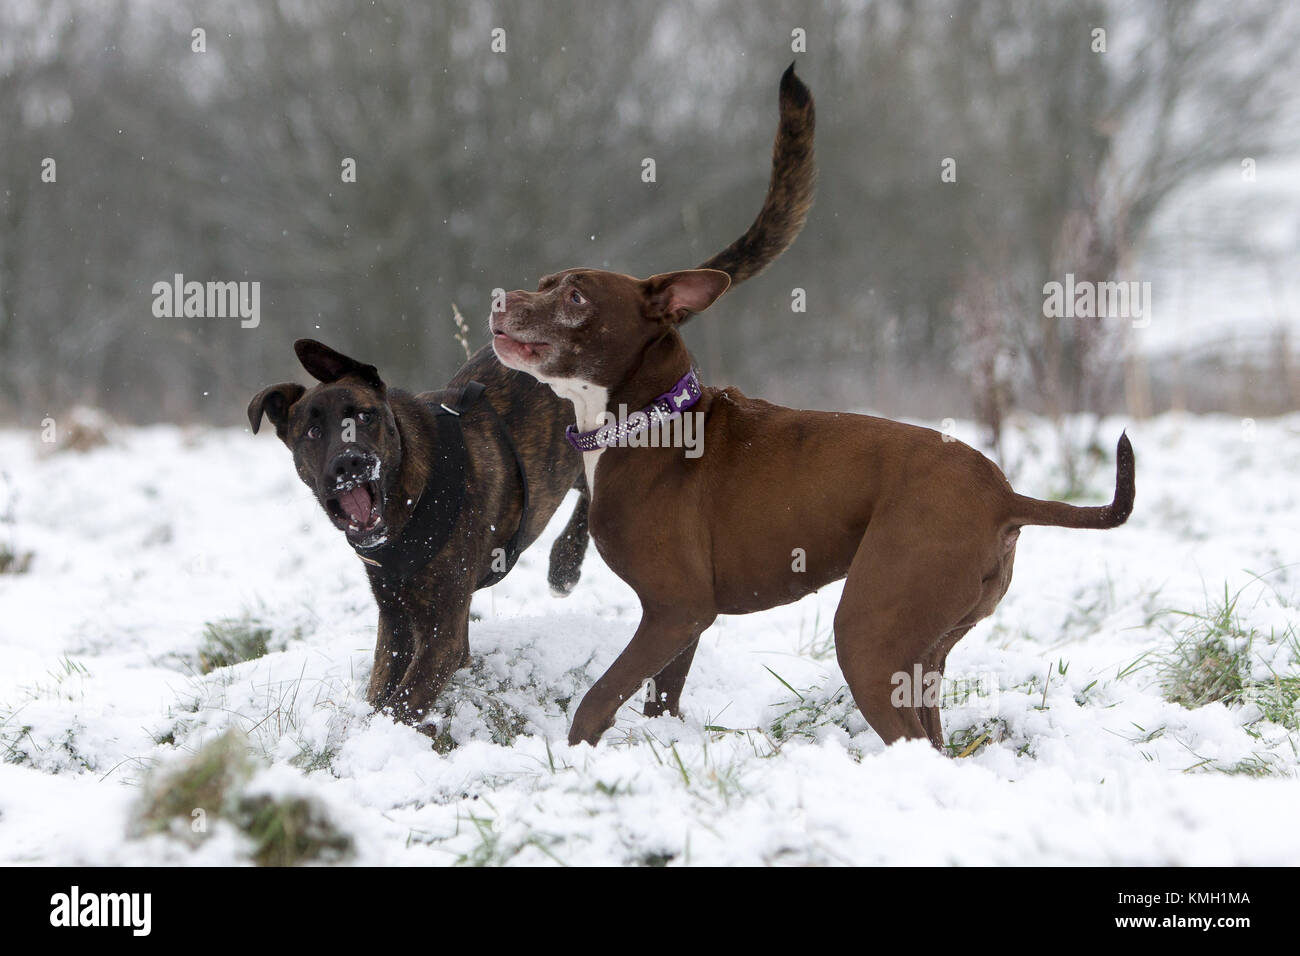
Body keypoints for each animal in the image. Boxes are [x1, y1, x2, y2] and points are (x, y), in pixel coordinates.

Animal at [244, 340, 590, 723]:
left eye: (365, 416)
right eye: (313, 432)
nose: (350, 462)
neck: (408, 498)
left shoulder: (443, 635)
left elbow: (402, 704)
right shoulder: (395, 614)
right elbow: (381, 687)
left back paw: (565, 565)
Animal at [491, 69, 1133, 754]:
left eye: (576, 297)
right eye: (546, 281)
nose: (500, 301)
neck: (648, 417)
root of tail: (1003, 496)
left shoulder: (676, 608)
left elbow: (597, 700)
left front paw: (574, 756)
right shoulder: (681, 625)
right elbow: (661, 699)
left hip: (869, 630)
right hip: (923, 649)